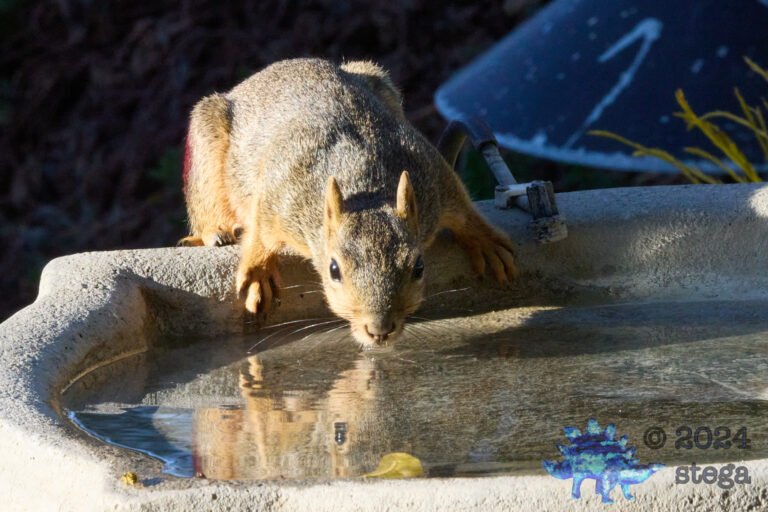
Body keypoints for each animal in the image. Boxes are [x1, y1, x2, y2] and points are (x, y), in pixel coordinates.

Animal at [179, 58, 516, 346]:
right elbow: (260, 233)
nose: (379, 330)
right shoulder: (280, 198)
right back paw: (214, 232)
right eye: (333, 270)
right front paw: (257, 273)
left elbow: (461, 207)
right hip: (205, 152)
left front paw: (486, 242)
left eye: (419, 267)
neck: (366, 187)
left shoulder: (430, 177)